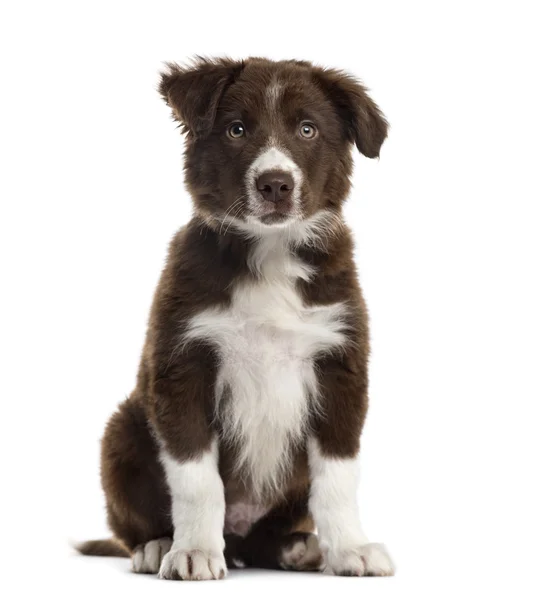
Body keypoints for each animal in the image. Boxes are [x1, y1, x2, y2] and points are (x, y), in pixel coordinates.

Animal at [79, 58, 396, 580]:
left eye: (307, 129)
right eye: (236, 129)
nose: (275, 184)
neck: (269, 253)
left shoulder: (339, 363)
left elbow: (338, 475)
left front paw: (351, 548)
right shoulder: (183, 364)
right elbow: (197, 479)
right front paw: (193, 551)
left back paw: (297, 547)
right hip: (122, 430)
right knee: (134, 526)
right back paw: (157, 546)